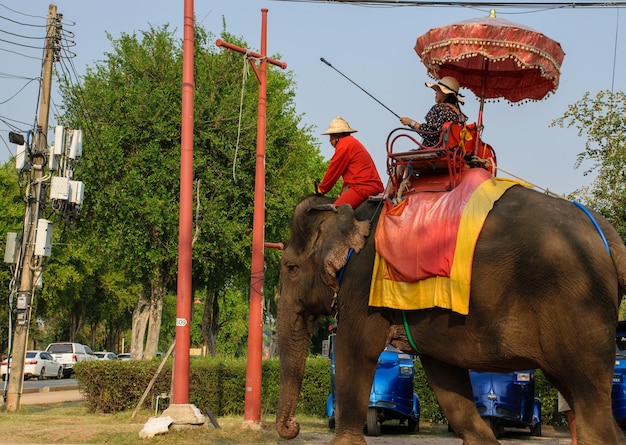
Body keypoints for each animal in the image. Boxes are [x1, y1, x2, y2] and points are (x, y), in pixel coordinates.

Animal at [276, 191, 624, 444]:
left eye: (290, 268)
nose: (292, 427)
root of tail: (611, 238)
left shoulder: (362, 285)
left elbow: (356, 350)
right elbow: (448, 383)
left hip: (578, 309)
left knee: (591, 409)